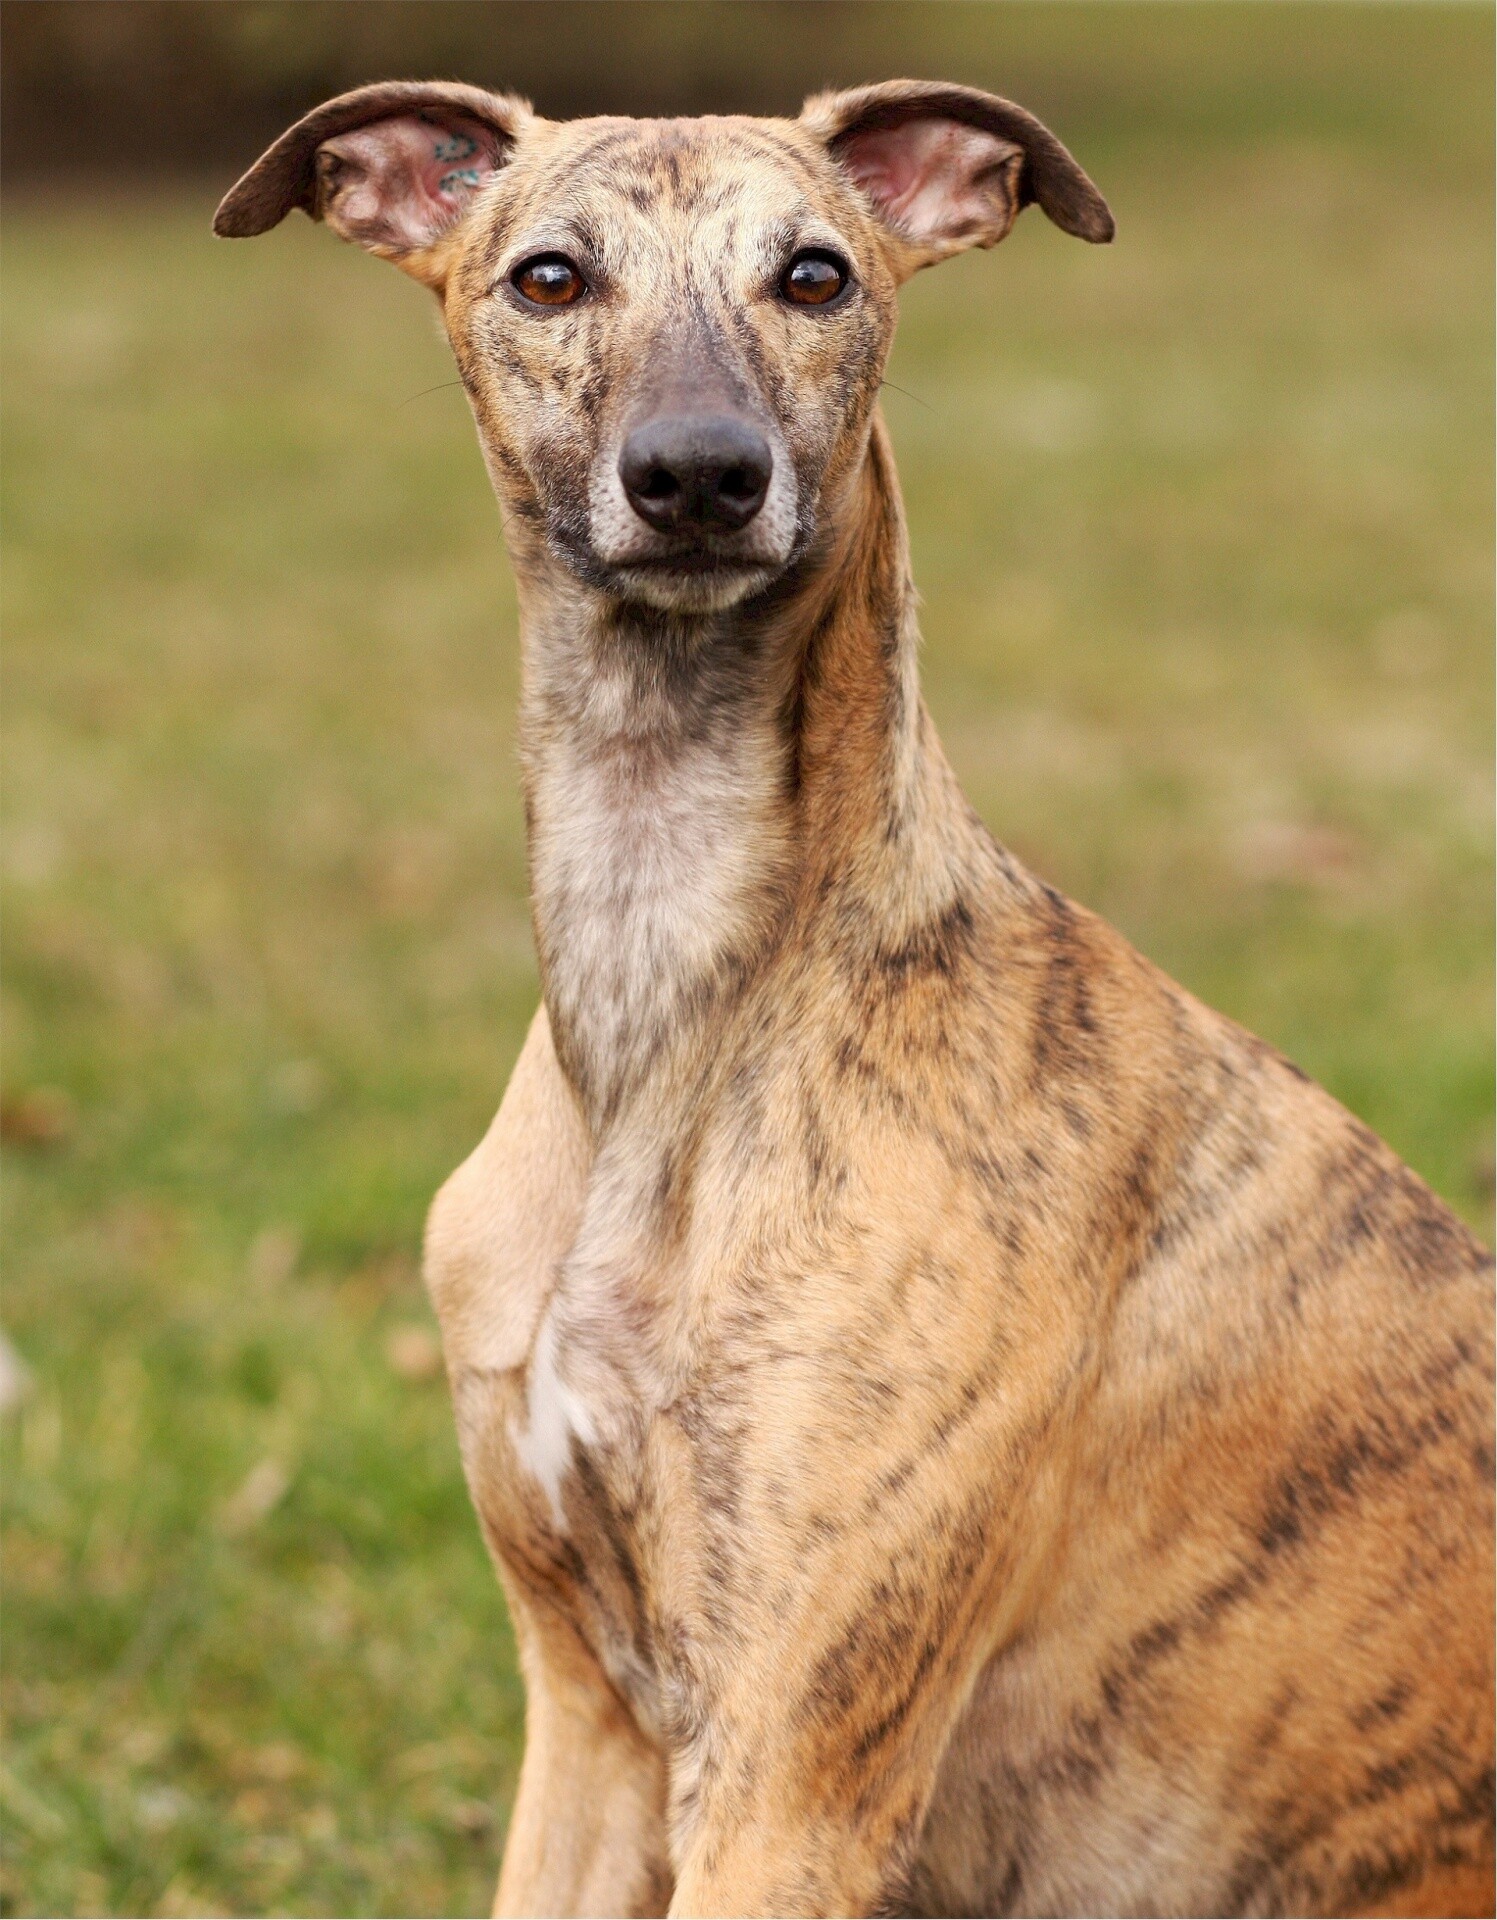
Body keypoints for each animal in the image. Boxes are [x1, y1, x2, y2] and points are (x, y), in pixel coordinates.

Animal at [215, 78, 1489, 1920]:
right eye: (548, 276)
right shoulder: (588, 1718)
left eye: (813, 273)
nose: (696, 474)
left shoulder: (795, 1772)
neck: (686, 1011)